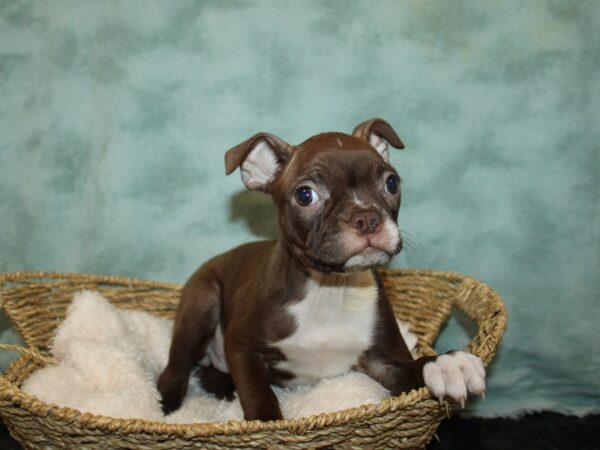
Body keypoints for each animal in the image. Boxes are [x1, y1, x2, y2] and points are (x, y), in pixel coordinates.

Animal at [157, 118, 486, 420]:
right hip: (203, 302)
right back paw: (166, 406)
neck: (331, 288)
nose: (366, 217)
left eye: (391, 183)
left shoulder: (383, 360)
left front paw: (446, 363)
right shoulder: (241, 346)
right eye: (305, 195)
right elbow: (258, 396)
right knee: (175, 369)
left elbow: (413, 366)